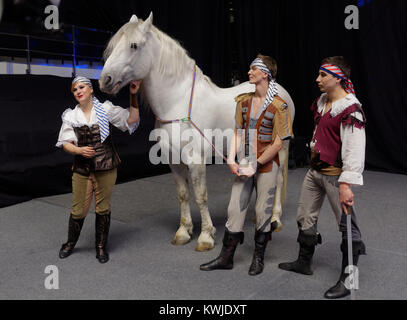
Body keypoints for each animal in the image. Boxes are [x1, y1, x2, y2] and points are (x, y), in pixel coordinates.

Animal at [100, 12, 294, 251]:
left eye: (134, 45)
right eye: (113, 45)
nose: (105, 80)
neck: (178, 103)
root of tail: (280, 90)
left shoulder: (196, 160)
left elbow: (201, 196)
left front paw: (205, 237)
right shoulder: (173, 160)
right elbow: (183, 195)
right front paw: (183, 232)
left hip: (281, 149)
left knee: (278, 181)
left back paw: (275, 219)